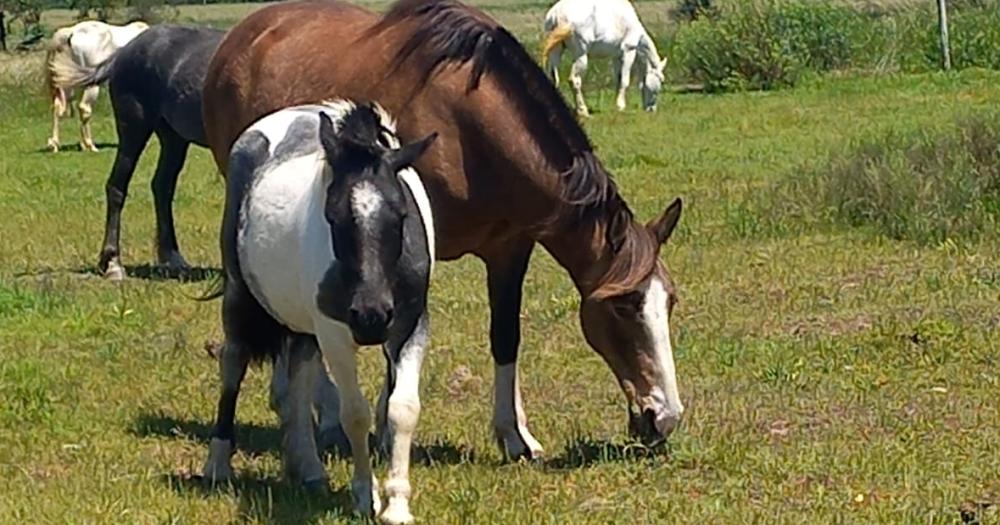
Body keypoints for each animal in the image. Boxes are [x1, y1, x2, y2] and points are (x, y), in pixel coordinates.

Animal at [44, 20, 146, 151]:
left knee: (58, 108)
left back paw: (56, 145)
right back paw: (90, 145)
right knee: (84, 108)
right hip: (90, 85)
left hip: (68, 82)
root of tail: (71, 32)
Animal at [203, 0, 688, 462]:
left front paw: (515, 436)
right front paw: (385, 433)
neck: (468, 126)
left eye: (669, 302)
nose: (664, 417)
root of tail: (240, 37)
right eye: (623, 307)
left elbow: (505, 337)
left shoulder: (510, 250)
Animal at [204, 99, 438, 524]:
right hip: (239, 295)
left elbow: (403, 409)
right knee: (233, 364)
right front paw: (365, 496)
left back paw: (308, 469)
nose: (371, 315)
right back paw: (217, 464)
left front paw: (397, 504)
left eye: (400, 215)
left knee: (297, 382)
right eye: (334, 216)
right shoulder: (333, 332)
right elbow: (355, 414)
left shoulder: (410, 327)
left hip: (303, 326)